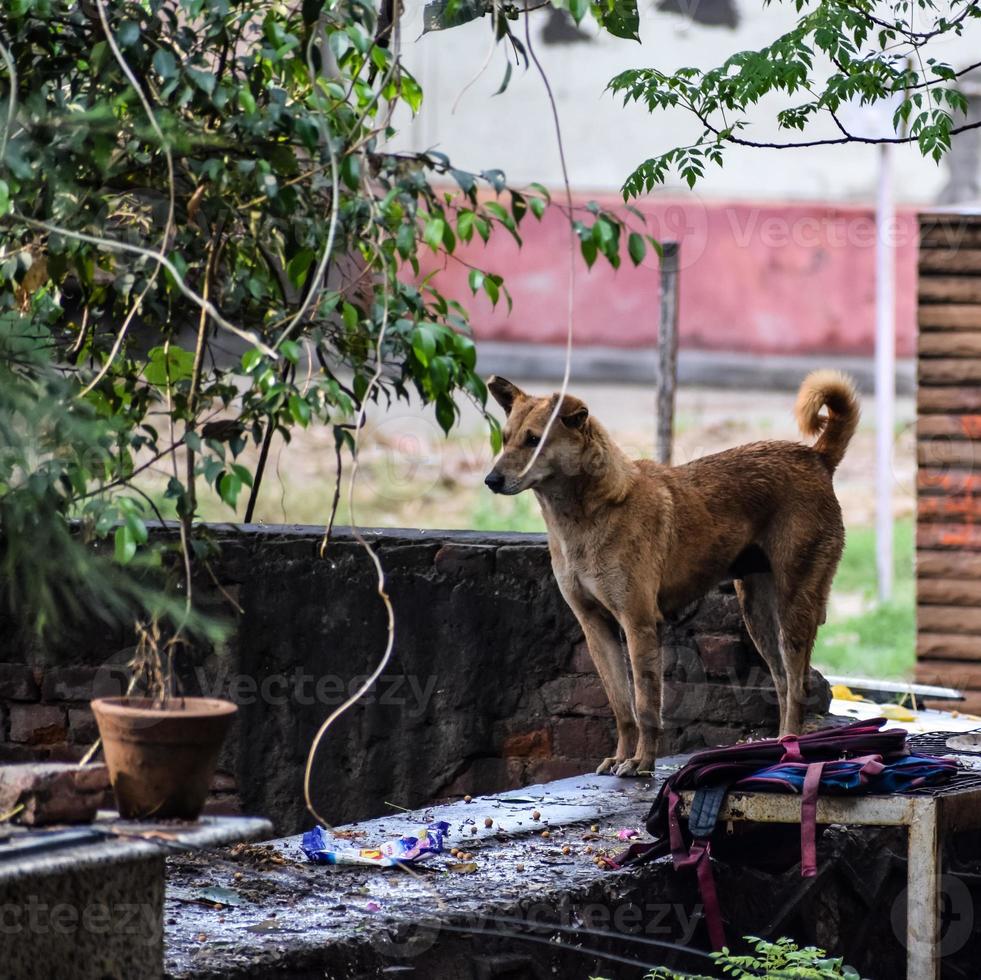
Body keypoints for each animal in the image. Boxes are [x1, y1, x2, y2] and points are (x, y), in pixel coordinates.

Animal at [482, 372, 856, 776]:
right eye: (505, 437)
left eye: (534, 439)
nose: (490, 480)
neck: (589, 512)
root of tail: (816, 456)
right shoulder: (596, 627)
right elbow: (622, 707)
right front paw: (620, 757)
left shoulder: (640, 624)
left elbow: (646, 705)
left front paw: (641, 762)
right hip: (758, 613)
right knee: (784, 683)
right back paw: (778, 746)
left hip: (794, 607)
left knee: (798, 685)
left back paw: (790, 748)